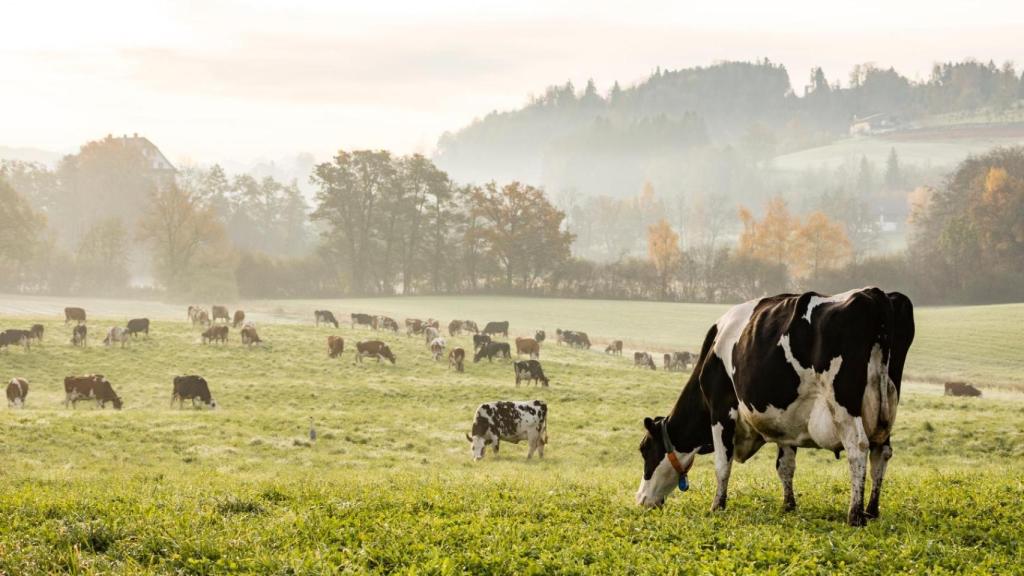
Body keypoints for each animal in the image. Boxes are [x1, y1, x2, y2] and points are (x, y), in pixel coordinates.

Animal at [635, 288, 915, 527]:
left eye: (644, 449)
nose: (640, 499)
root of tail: (873, 293)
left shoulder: (721, 409)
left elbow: (722, 464)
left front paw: (717, 506)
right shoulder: (787, 421)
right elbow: (785, 466)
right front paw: (788, 505)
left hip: (844, 404)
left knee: (858, 448)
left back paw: (855, 515)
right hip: (886, 407)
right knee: (881, 452)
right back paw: (872, 510)